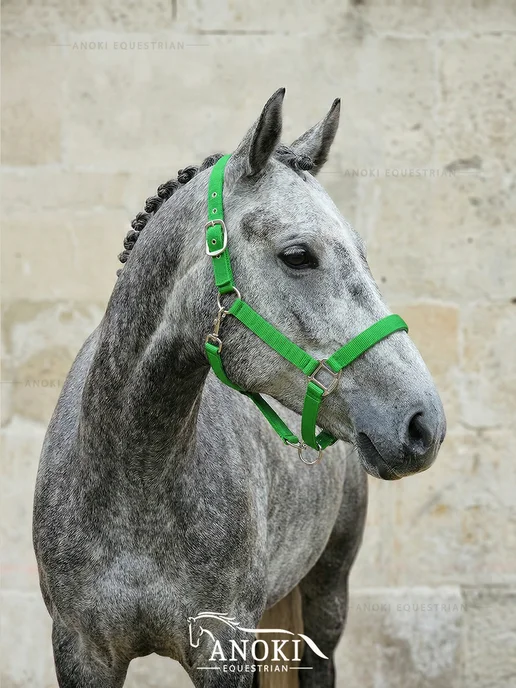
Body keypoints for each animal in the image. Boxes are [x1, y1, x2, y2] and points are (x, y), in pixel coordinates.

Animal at [33, 88, 446, 687]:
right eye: (298, 255)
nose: (423, 424)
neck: (132, 477)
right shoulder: (81, 651)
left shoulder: (224, 646)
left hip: (327, 597)